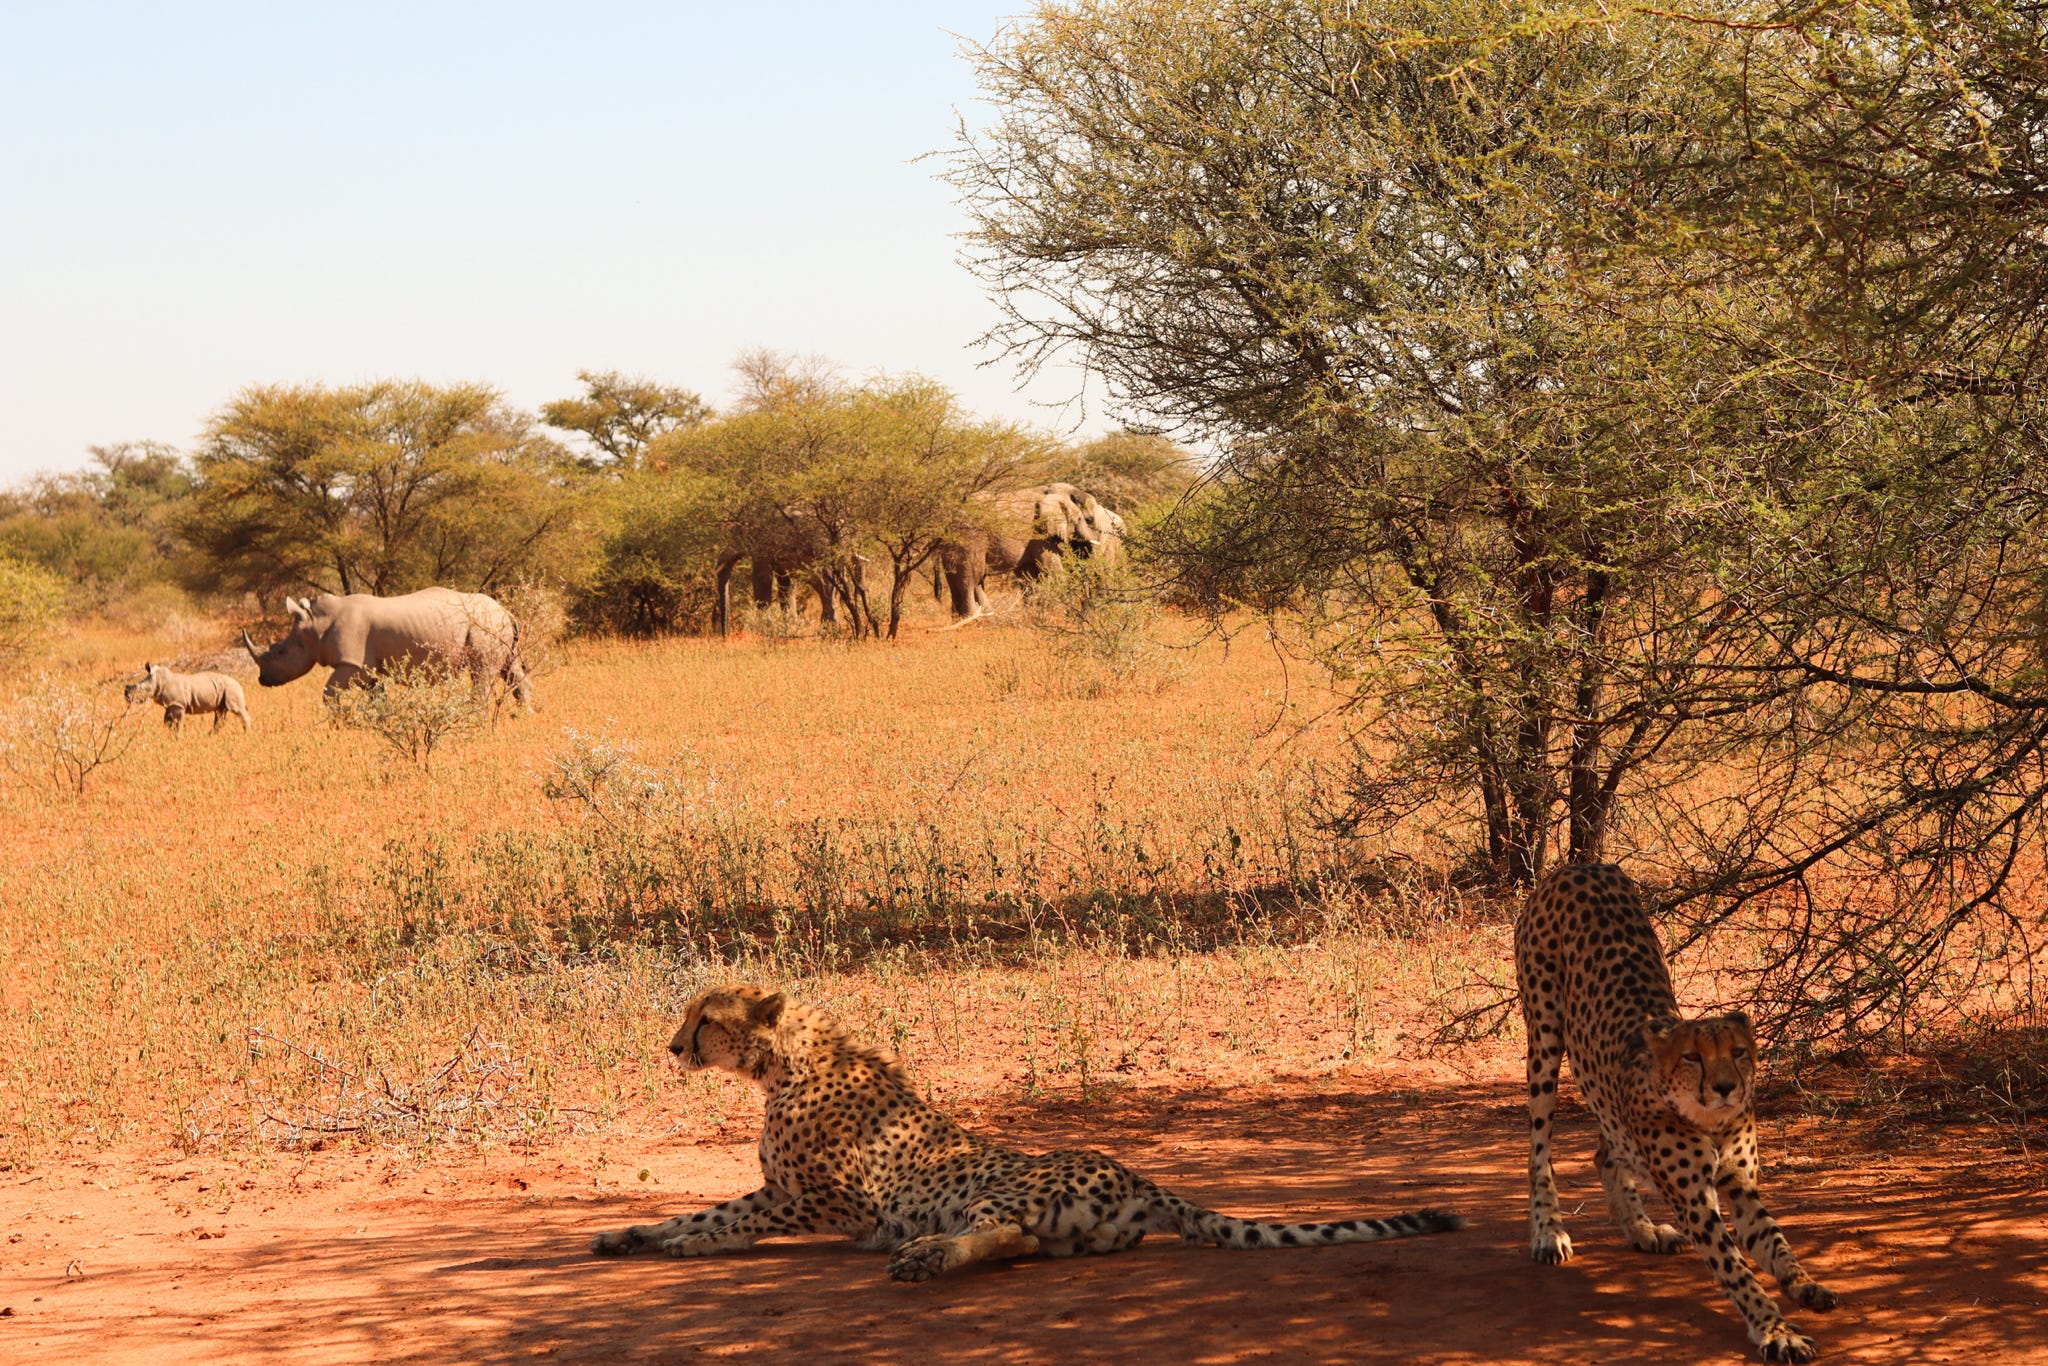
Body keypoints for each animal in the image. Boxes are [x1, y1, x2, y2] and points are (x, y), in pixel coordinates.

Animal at [240, 585, 532, 704]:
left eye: (280, 652)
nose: (263, 680)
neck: (316, 624)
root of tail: (506, 611)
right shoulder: (366, 667)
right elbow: (377, 695)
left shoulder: (352, 663)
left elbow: (329, 692)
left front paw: (340, 724)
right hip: (494, 625)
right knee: (510, 669)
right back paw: (523, 716)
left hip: (485, 626)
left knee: (483, 672)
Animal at [598, 983, 1466, 1286]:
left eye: (703, 1020)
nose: (672, 1048)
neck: (785, 1064)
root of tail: (1142, 1179)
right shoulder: (780, 1188)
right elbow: (703, 1209)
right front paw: (635, 1235)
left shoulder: (833, 1203)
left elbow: (732, 1221)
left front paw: (690, 1245)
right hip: (1058, 1229)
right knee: (1022, 1245)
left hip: (1002, 1182)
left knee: (1005, 1233)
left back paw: (925, 1257)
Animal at [1523, 872, 1843, 1359]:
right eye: (1693, 1057)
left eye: (1739, 1052)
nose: (1727, 1087)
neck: (1710, 1120)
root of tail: (1581, 866)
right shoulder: (1695, 1202)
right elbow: (1737, 1270)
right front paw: (1775, 1330)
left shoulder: (1741, 1185)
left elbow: (1774, 1241)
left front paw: (1804, 1285)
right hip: (1544, 1040)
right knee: (1539, 1150)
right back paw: (1548, 1231)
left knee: (1605, 1151)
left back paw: (1641, 1228)